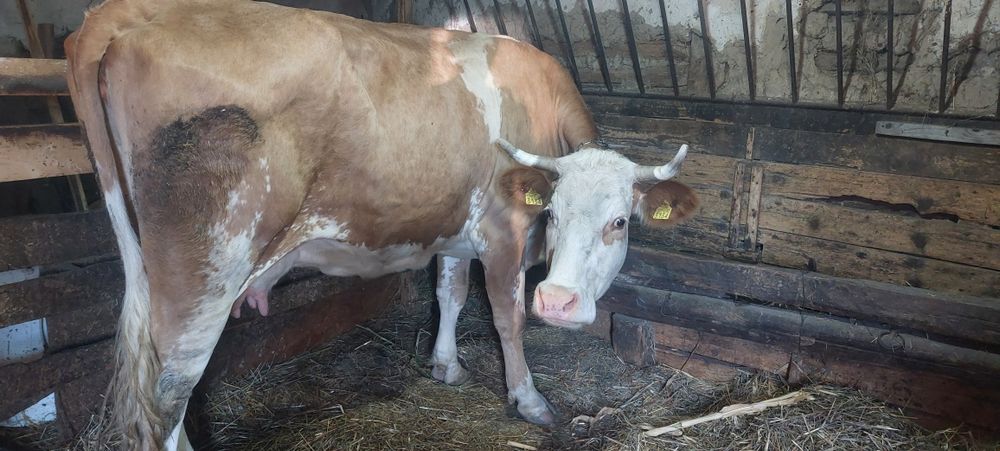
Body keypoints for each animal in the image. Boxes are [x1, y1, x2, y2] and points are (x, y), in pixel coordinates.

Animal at [64, 0, 699, 449]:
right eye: (553, 214)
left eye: (618, 221)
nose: (560, 302)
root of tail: (135, 11)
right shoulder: (503, 232)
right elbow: (507, 317)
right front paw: (528, 400)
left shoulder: (456, 228)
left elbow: (450, 293)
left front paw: (445, 365)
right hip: (204, 274)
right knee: (166, 397)